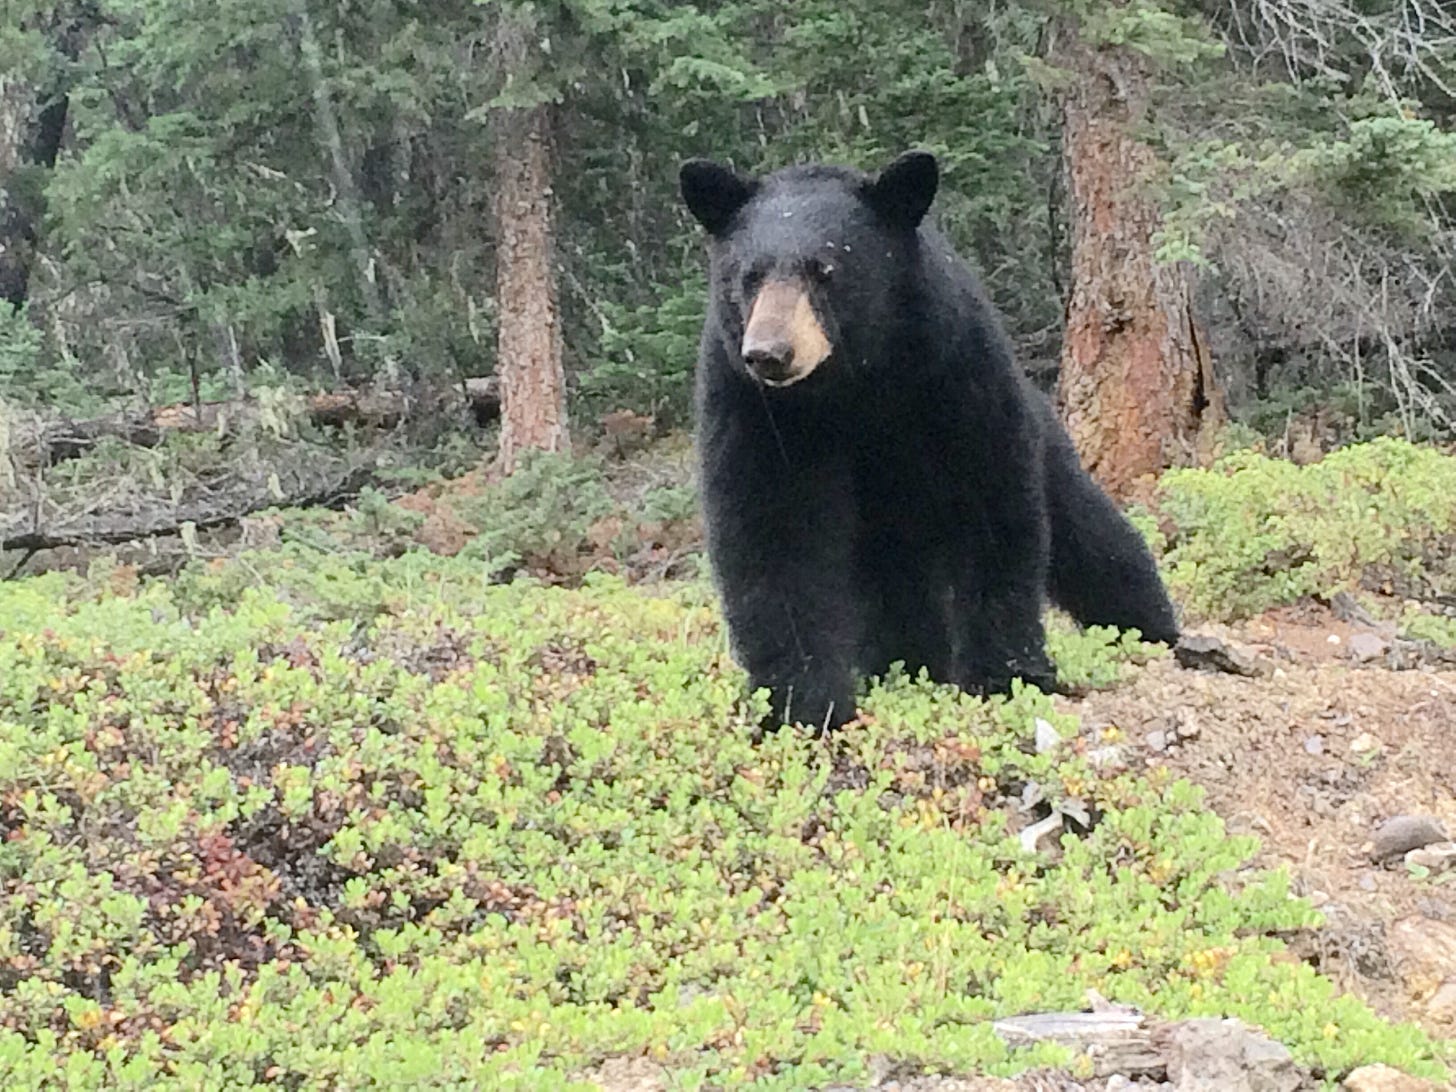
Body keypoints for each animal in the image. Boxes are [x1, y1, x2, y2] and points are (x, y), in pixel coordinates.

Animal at [679, 150, 1179, 733]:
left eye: (826, 269)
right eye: (748, 275)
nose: (770, 352)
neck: (854, 387)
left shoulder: (953, 372)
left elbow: (991, 505)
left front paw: (1003, 674)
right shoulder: (756, 410)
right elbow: (775, 534)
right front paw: (800, 704)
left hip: (1042, 435)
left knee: (1091, 534)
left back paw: (1149, 627)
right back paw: (906, 663)